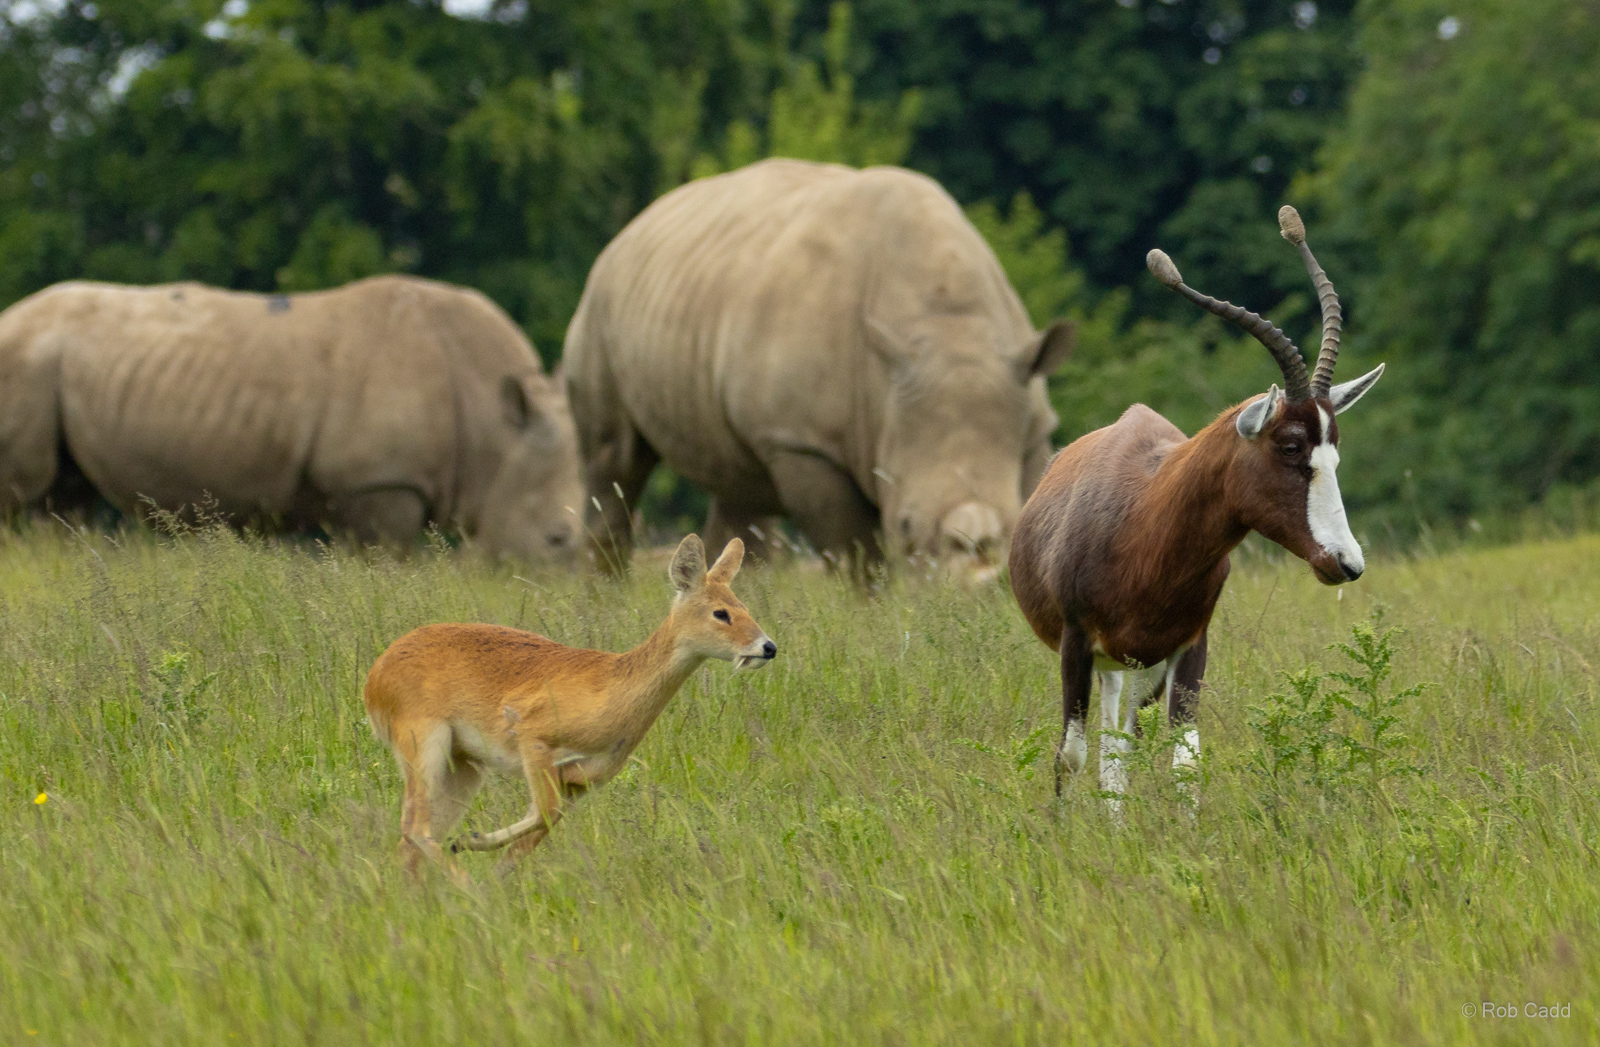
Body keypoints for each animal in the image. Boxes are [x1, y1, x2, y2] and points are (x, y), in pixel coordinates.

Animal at [0, 274, 584, 561]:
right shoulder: (380, 484)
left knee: (63, 500)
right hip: (22, 359)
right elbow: (387, 565)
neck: (494, 430)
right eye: (556, 540)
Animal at [363, 535, 776, 880]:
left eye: (744, 606)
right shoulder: (534, 739)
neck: (610, 691)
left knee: (411, 839)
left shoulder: (580, 782)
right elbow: (541, 813)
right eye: (721, 612)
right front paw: (472, 845)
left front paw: (486, 864)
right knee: (414, 829)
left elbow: (533, 833)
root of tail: (374, 677)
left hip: (463, 766)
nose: (768, 647)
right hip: (424, 744)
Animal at [563, 158, 1074, 576]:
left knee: (738, 492)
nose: (973, 590)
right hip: (598, 308)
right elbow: (856, 553)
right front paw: (871, 616)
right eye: (906, 526)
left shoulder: (1031, 422)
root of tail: (634, 223)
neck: (947, 329)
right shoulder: (803, 442)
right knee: (614, 463)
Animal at [1008, 205, 1384, 814]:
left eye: (1334, 449)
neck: (1143, 524)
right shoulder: (1075, 643)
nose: (1345, 562)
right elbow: (1070, 755)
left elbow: (1186, 764)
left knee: (1120, 754)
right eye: (1290, 445)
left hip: (1137, 671)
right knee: (1103, 753)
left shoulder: (1189, 649)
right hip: (1110, 665)